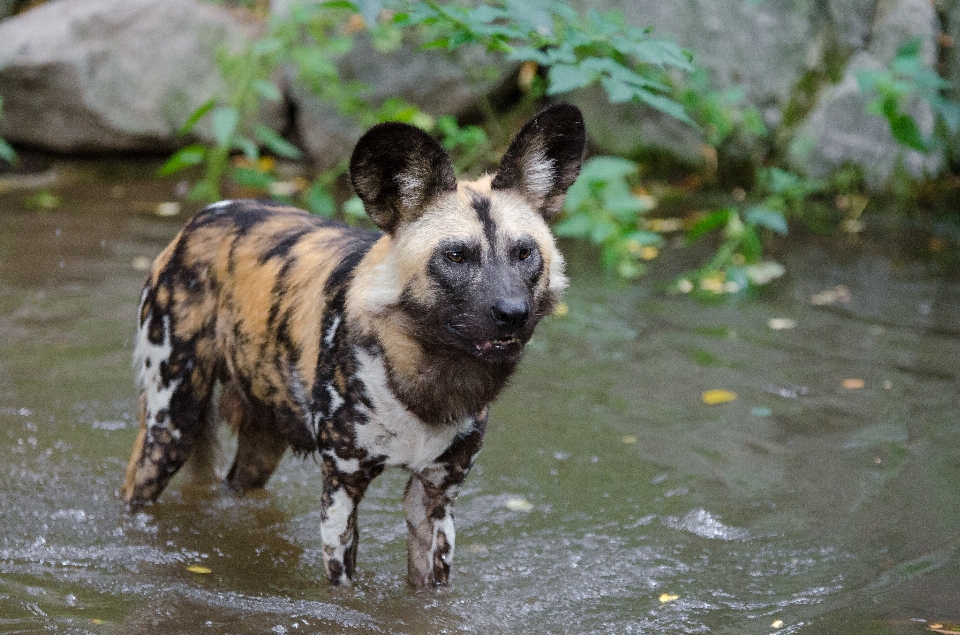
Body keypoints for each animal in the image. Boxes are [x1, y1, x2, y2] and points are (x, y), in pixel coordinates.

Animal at [120, 103, 584, 588]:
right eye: (456, 256)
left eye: (524, 253)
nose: (513, 312)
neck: (426, 378)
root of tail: (205, 215)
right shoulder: (342, 488)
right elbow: (344, 582)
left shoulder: (435, 497)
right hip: (171, 425)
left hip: (262, 439)